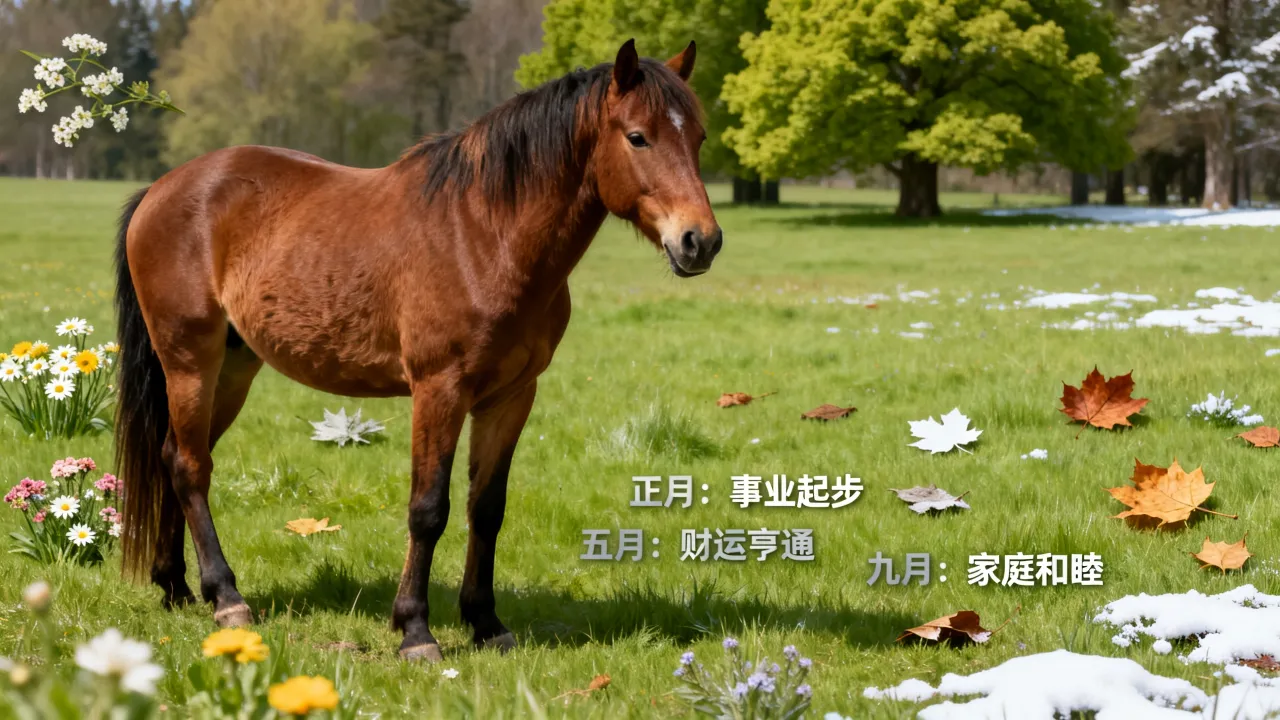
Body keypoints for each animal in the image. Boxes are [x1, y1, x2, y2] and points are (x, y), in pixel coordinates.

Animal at [114, 39, 721, 661]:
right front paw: (415, 629)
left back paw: (176, 586)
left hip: (234, 368)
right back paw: (226, 597)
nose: (700, 241)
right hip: (190, 362)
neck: (484, 235)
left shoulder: (510, 397)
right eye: (638, 137)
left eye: (698, 137)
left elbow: (486, 508)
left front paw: (486, 622)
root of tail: (160, 189)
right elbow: (429, 509)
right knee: (189, 467)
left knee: (173, 456)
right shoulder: (439, 390)